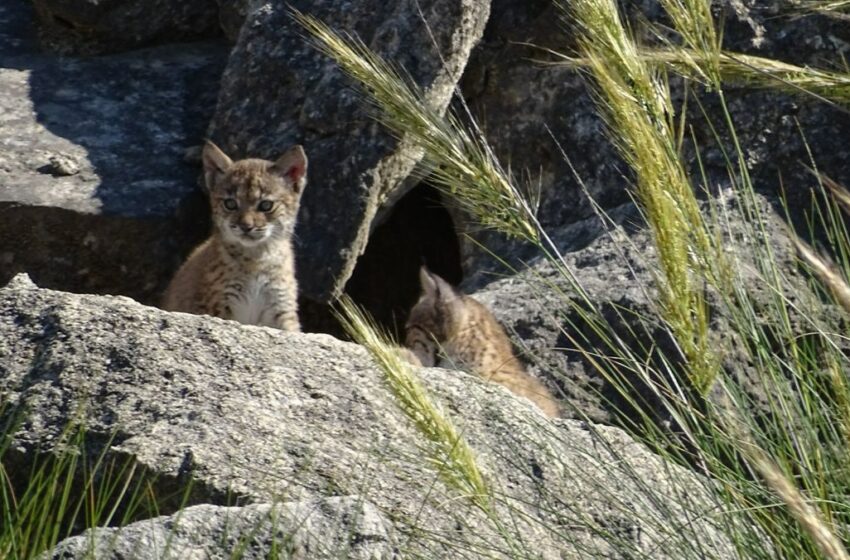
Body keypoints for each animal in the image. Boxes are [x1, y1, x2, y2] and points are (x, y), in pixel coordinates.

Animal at [161, 142, 306, 330]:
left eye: (266, 205)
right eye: (230, 204)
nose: (246, 227)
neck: (257, 257)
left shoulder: (281, 306)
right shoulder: (218, 306)